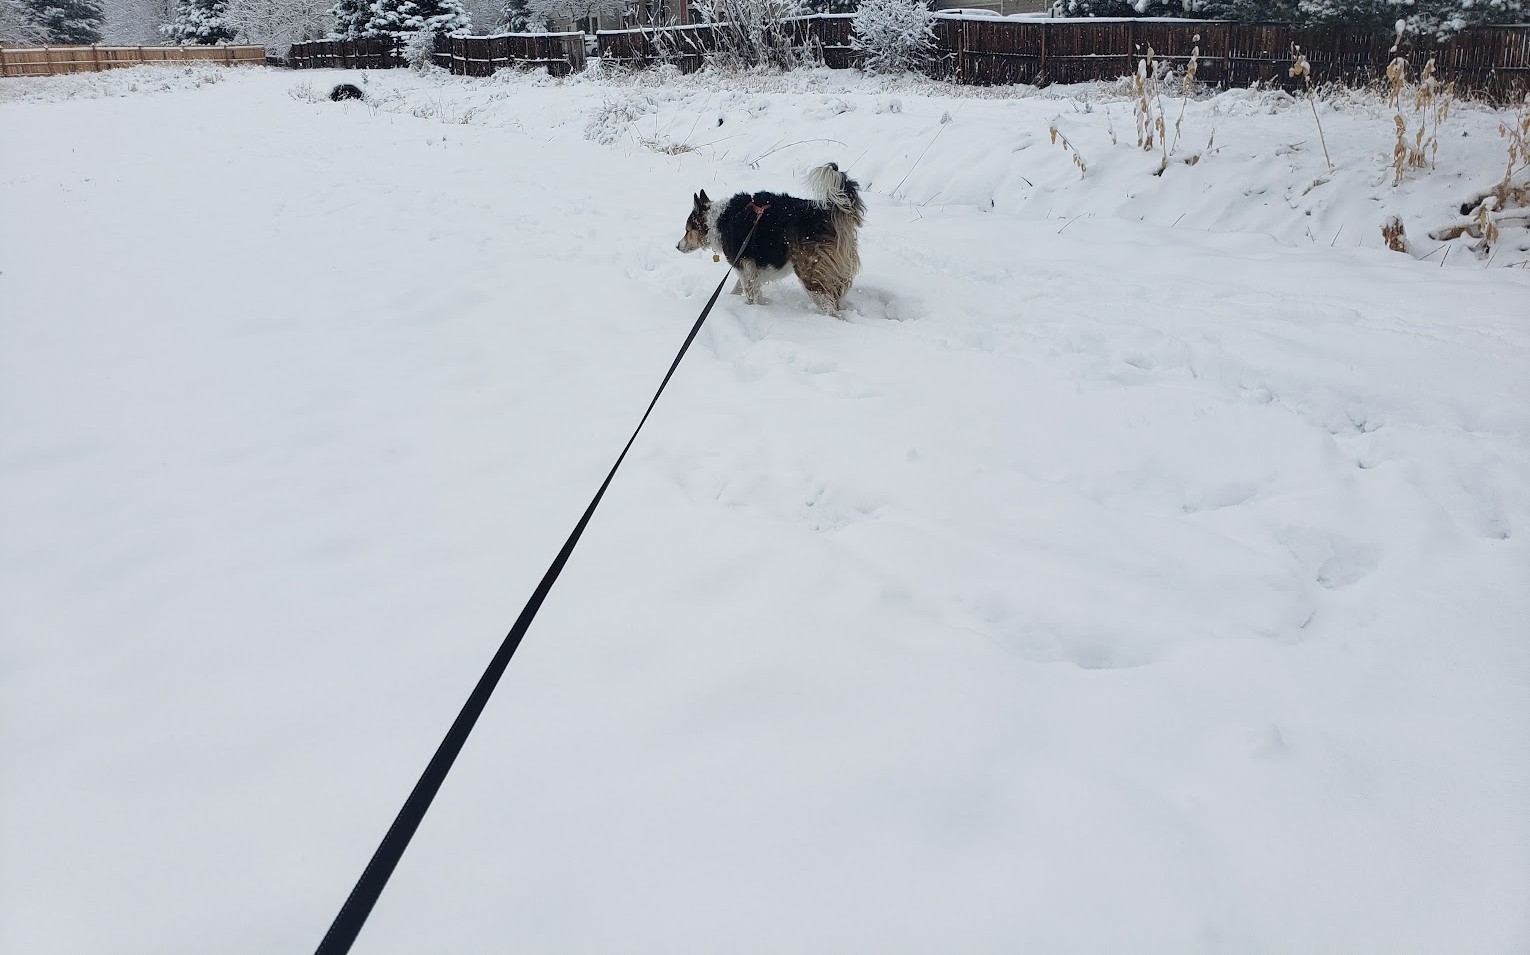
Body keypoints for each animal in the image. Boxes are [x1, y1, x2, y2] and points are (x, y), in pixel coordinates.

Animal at [675, 163, 865, 317]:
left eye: (687, 230)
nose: (677, 246)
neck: (718, 221)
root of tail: (825, 212)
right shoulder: (750, 266)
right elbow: (740, 287)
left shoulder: (743, 264)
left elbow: (749, 291)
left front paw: (753, 307)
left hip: (811, 270)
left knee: (829, 308)